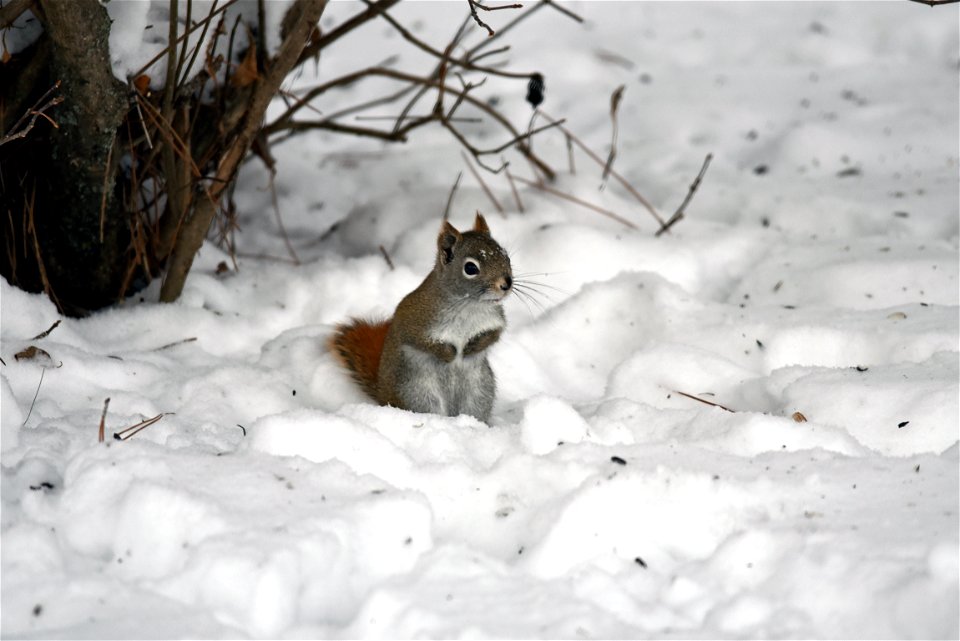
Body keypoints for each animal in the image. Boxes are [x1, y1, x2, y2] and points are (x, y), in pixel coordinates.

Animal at [328, 215, 510, 422]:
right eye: (470, 268)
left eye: (506, 256)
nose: (507, 284)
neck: (469, 305)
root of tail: (384, 395)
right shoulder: (413, 321)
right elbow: (420, 342)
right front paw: (450, 354)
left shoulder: (496, 319)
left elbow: (494, 334)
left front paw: (473, 346)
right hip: (418, 394)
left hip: (479, 393)